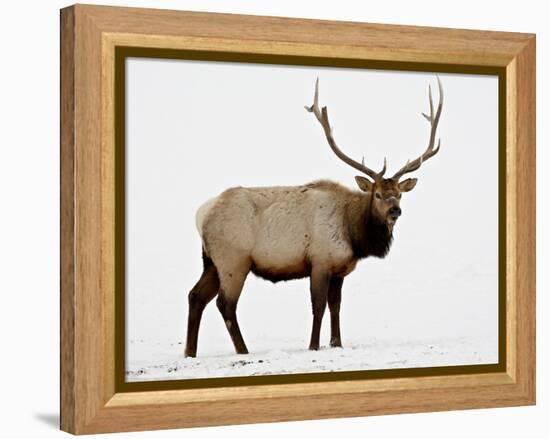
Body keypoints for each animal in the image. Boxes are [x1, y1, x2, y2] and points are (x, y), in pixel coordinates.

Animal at [184, 76, 444, 358]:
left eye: (399, 194)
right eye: (377, 194)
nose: (395, 210)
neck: (353, 233)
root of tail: (202, 214)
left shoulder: (340, 269)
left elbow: (336, 306)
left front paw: (337, 343)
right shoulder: (320, 260)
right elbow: (318, 306)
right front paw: (313, 345)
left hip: (211, 261)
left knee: (195, 296)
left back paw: (190, 352)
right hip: (233, 259)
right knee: (225, 304)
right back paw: (243, 351)